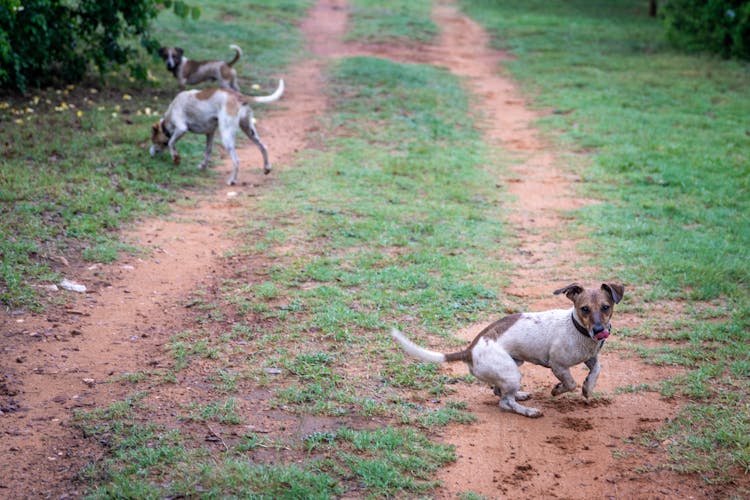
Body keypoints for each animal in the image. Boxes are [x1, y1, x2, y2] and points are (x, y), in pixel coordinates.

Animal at [149, 79, 284, 185]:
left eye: (154, 140)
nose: (151, 154)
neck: (167, 119)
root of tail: (239, 96)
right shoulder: (210, 133)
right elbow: (207, 152)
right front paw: (203, 166)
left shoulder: (181, 128)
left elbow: (171, 142)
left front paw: (176, 158)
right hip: (249, 130)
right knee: (263, 147)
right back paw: (267, 168)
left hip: (227, 136)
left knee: (237, 160)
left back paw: (232, 180)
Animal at [390, 282, 624, 418]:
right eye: (584, 309)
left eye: (606, 307)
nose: (599, 331)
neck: (577, 328)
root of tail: (470, 350)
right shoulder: (558, 365)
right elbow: (570, 383)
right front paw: (558, 390)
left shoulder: (591, 357)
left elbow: (596, 370)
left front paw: (588, 388)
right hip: (512, 372)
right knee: (504, 402)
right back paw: (528, 411)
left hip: (511, 369)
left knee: (499, 392)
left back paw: (520, 396)